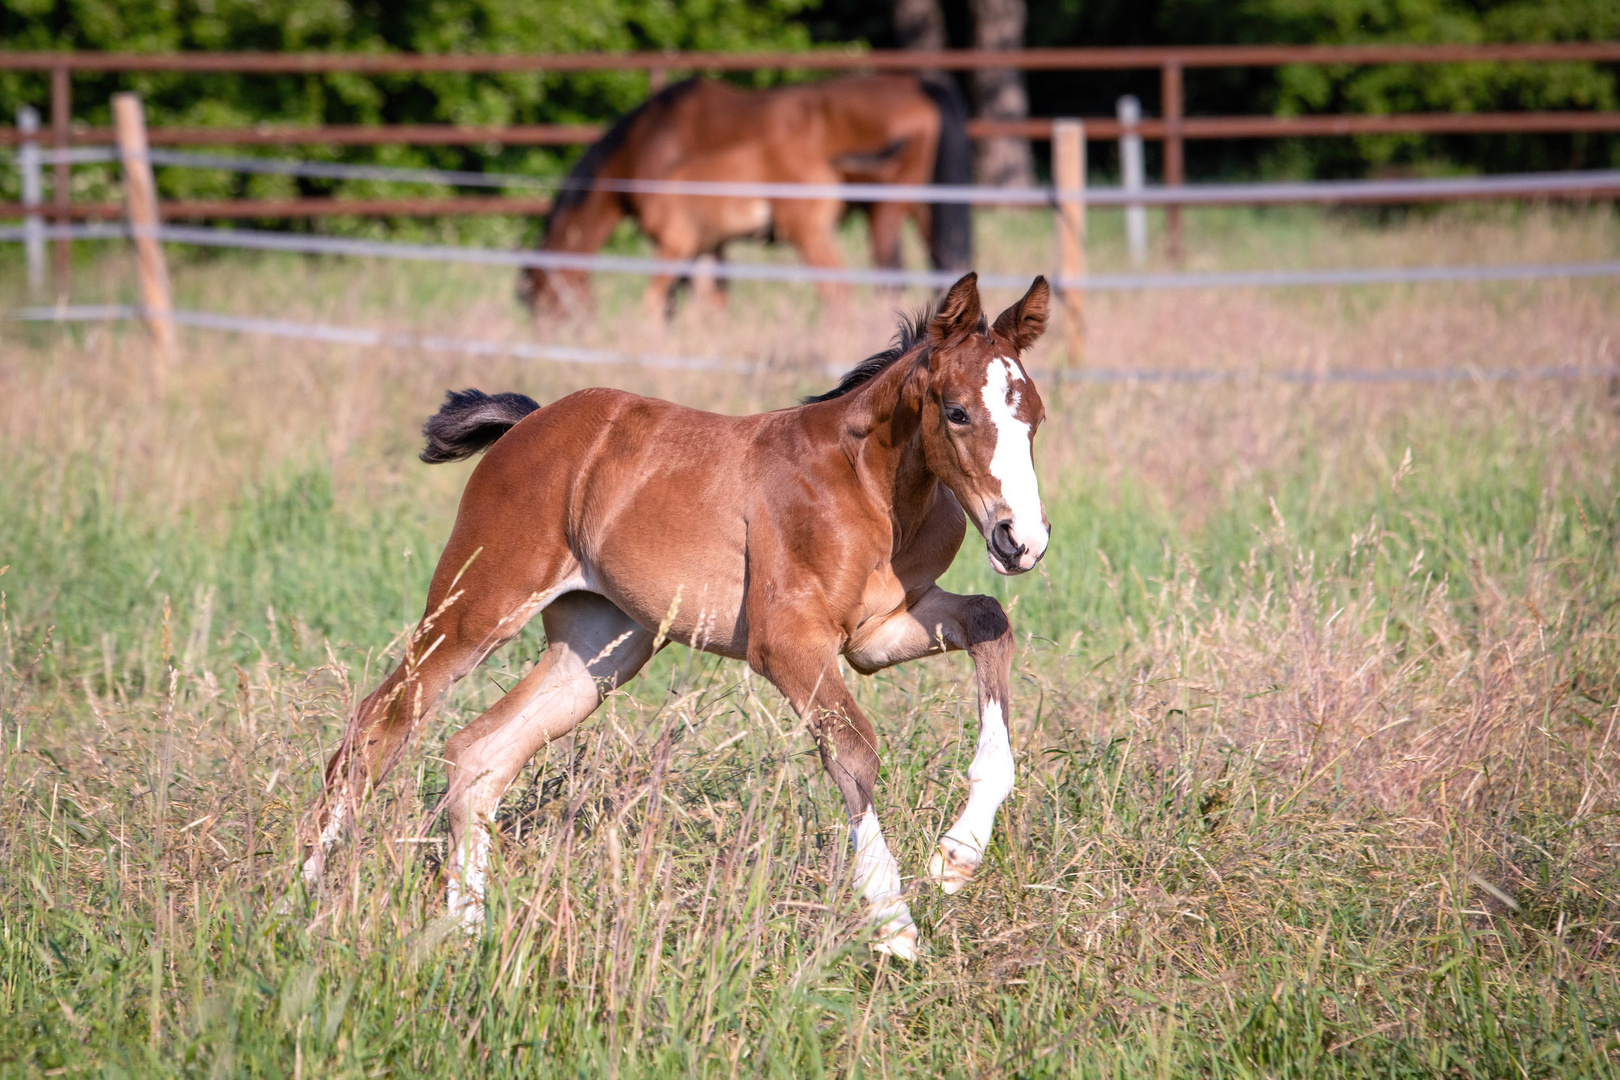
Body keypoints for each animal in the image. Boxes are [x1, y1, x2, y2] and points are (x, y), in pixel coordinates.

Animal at [304, 275, 1049, 958]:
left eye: (1035, 418)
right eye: (956, 411)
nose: (1022, 539)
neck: (868, 485)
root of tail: (529, 424)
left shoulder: (880, 632)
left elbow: (990, 623)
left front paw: (956, 858)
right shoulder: (787, 644)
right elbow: (854, 751)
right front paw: (894, 928)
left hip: (599, 649)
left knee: (478, 754)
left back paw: (465, 933)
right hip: (480, 602)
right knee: (380, 722)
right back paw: (305, 896)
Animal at [524, 76, 965, 317]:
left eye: (538, 299)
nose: (555, 336)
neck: (650, 139)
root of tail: (919, 86)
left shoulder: (681, 242)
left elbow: (668, 303)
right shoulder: (710, 243)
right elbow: (715, 301)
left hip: (879, 214)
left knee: (869, 285)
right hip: (923, 211)